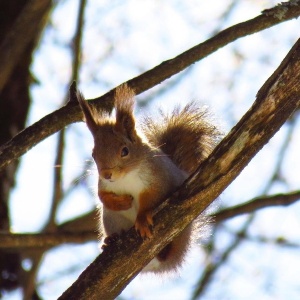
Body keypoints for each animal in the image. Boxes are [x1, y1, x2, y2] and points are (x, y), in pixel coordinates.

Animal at [76, 84, 219, 274]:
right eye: (94, 154)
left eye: (125, 151)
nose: (107, 174)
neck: (127, 177)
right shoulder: (105, 185)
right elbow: (102, 196)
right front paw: (120, 203)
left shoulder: (158, 177)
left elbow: (153, 196)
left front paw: (143, 219)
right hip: (110, 218)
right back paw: (110, 240)